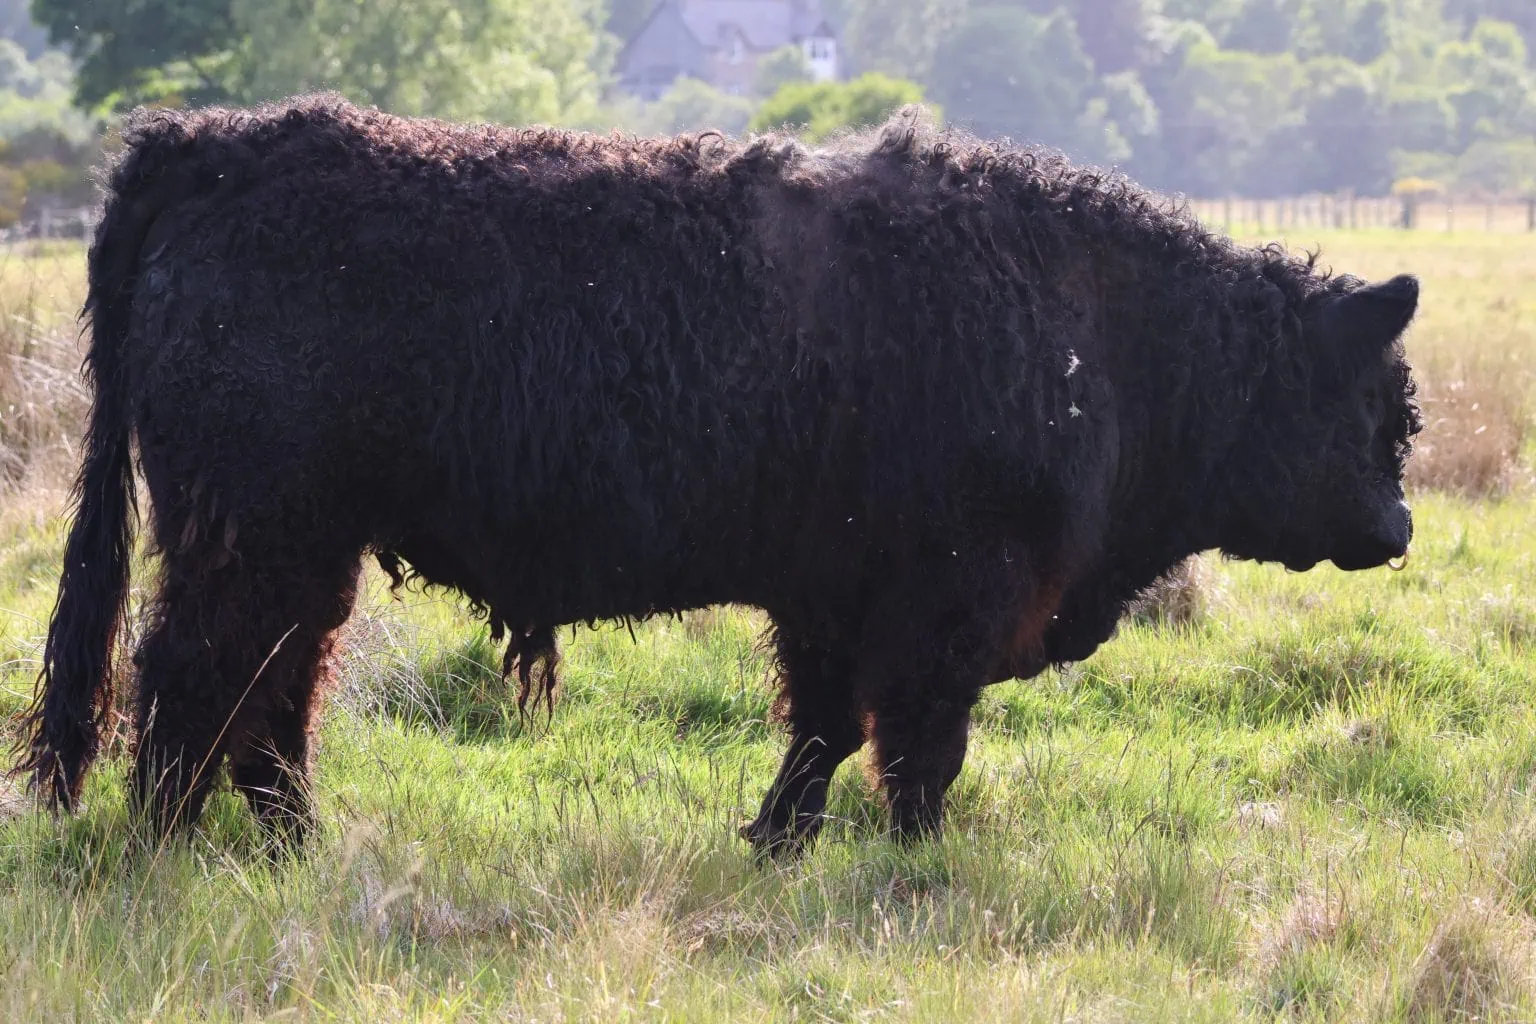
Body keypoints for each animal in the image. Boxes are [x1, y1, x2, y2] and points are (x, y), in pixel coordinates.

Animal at [13, 96, 1420, 857]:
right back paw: (166, 847)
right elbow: (919, 748)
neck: (1104, 331)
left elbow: (823, 729)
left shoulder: (835, 596)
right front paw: (913, 869)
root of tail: (211, 142)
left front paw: (776, 844)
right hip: (258, 536)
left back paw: (293, 849)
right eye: (1378, 410)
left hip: (300, 547)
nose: (1402, 526)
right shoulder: (946, 601)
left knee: (267, 696)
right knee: (194, 683)